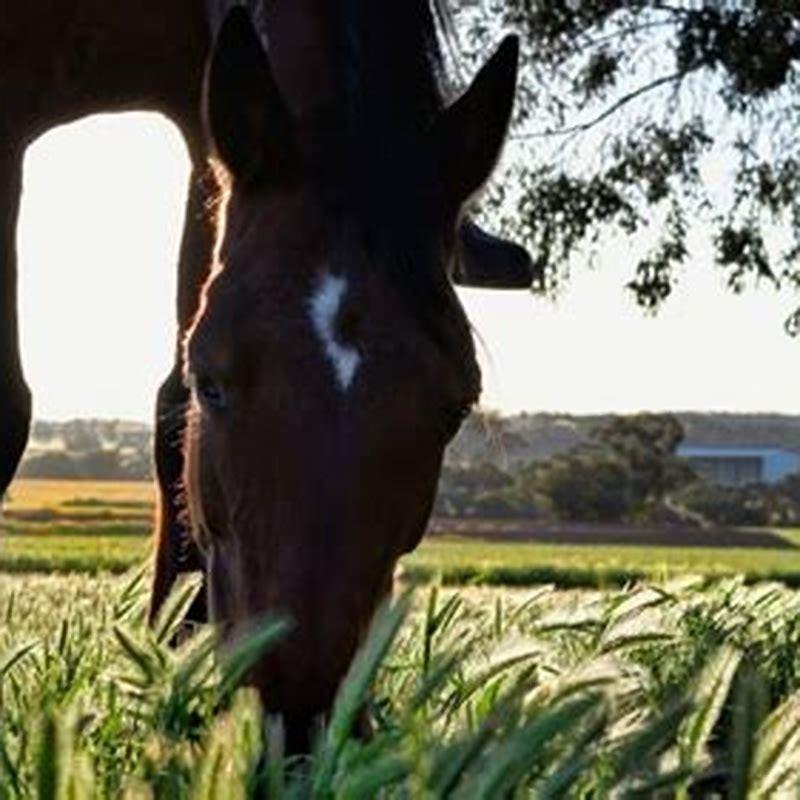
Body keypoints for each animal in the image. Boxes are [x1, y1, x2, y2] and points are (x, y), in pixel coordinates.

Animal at [0, 0, 530, 749]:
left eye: (455, 408)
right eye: (214, 384)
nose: (300, 720)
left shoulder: (206, 121)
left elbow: (168, 411)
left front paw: (176, 666)